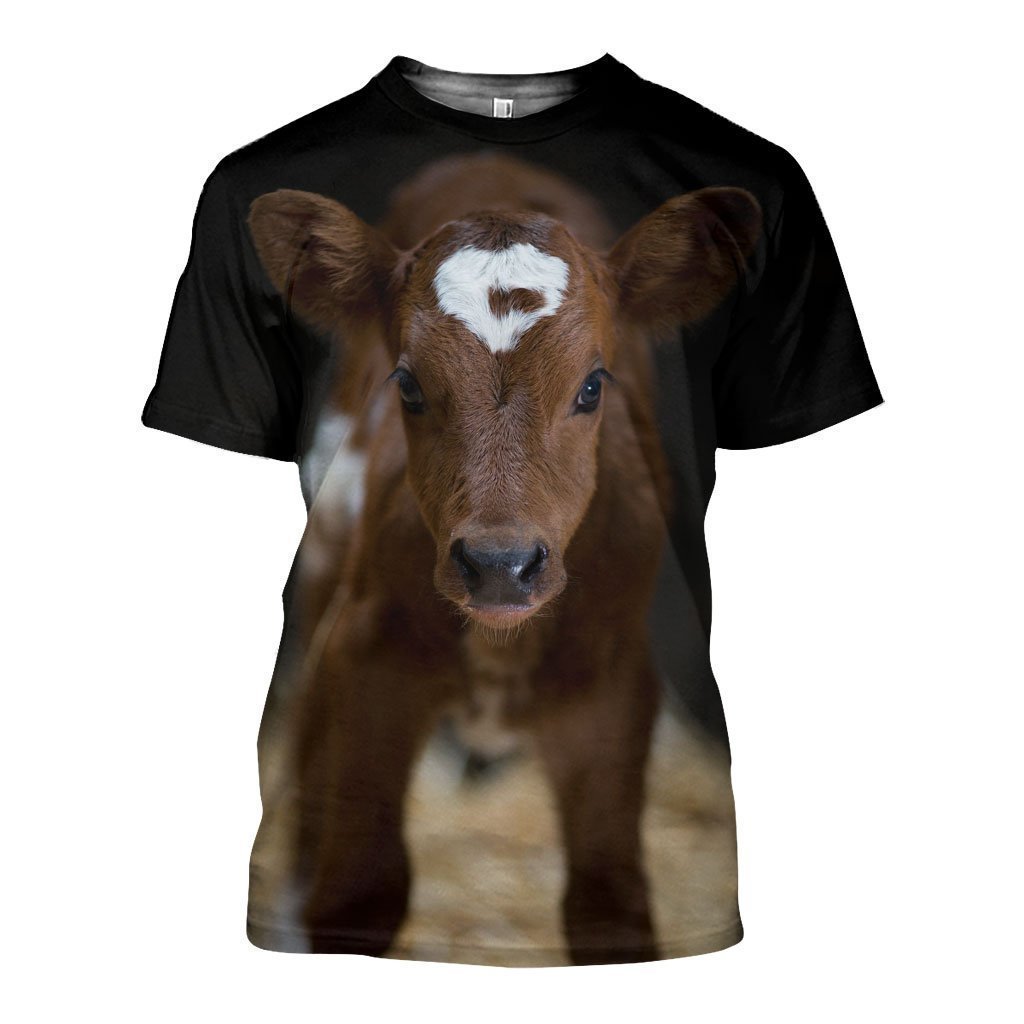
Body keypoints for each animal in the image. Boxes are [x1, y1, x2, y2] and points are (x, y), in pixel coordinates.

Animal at [247, 153, 761, 963]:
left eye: (593, 384)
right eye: (408, 383)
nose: (499, 564)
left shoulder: (615, 692)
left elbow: (610, 908)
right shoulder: (367, 661)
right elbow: (360, 883)